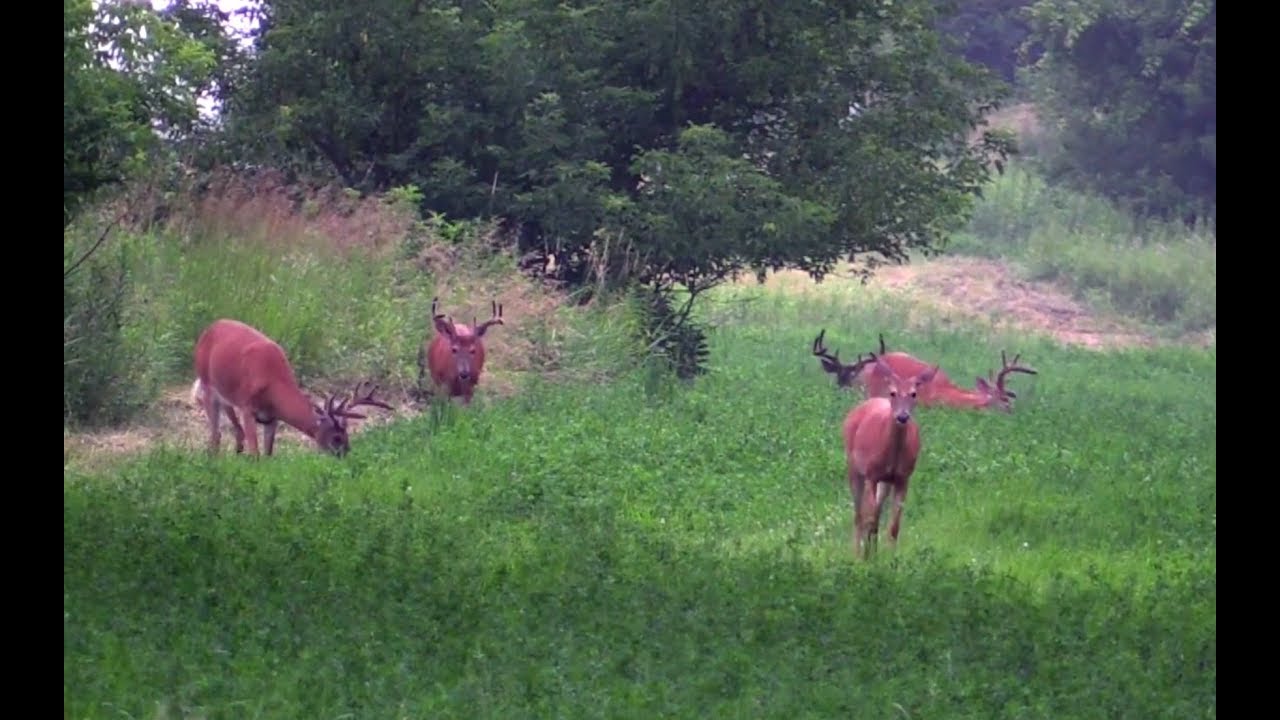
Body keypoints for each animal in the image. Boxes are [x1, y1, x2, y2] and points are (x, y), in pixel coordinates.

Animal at [191, 318, 394, 458]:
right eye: (337, 437)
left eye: (347, 434)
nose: (345, 455)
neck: (273, 384)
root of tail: (209, 328)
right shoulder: (247, 407)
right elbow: (256, 454)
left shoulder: (272, 418)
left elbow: (268, 454)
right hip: (206, 383)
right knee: (215, 434)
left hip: (225, 392)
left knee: (230, 422)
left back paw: (236, 450)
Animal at [842, 351, 940, 560]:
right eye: (893, 392)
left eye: (914, 393)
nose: (902, 417)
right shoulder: (871, 474)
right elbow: (868, 516)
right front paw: (865, 556)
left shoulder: (903, 478)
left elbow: (894, 526)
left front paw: (891, 558)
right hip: (854, 468)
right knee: (859, 514)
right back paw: (857, 553)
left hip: (885, 481)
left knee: (875, 514)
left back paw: (871, 549)